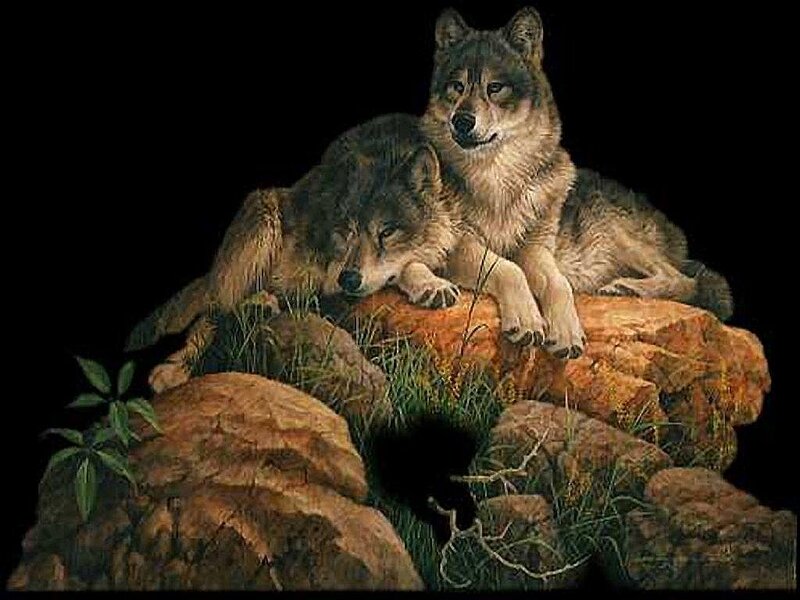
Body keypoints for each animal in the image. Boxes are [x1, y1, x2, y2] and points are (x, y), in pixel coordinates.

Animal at [127, 116, 463, 392]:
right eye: (347, 230)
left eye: (387, 232)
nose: (349, 279)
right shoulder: (327, 271)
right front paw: (431, 285)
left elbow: (411, 262)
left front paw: (431, 284)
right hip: (262, 213)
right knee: (216, 309)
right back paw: (174, 370)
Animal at [421, 7, 733, 359]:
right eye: (456, 86)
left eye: (495, 88)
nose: (461, 121)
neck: (498, 180)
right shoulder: (458, 245)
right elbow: (508, 269)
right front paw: (528, 321)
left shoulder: (537, 247)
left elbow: (558, 283)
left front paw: (566, 333)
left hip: (616, 231)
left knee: (683, 279)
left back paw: (626, 287)